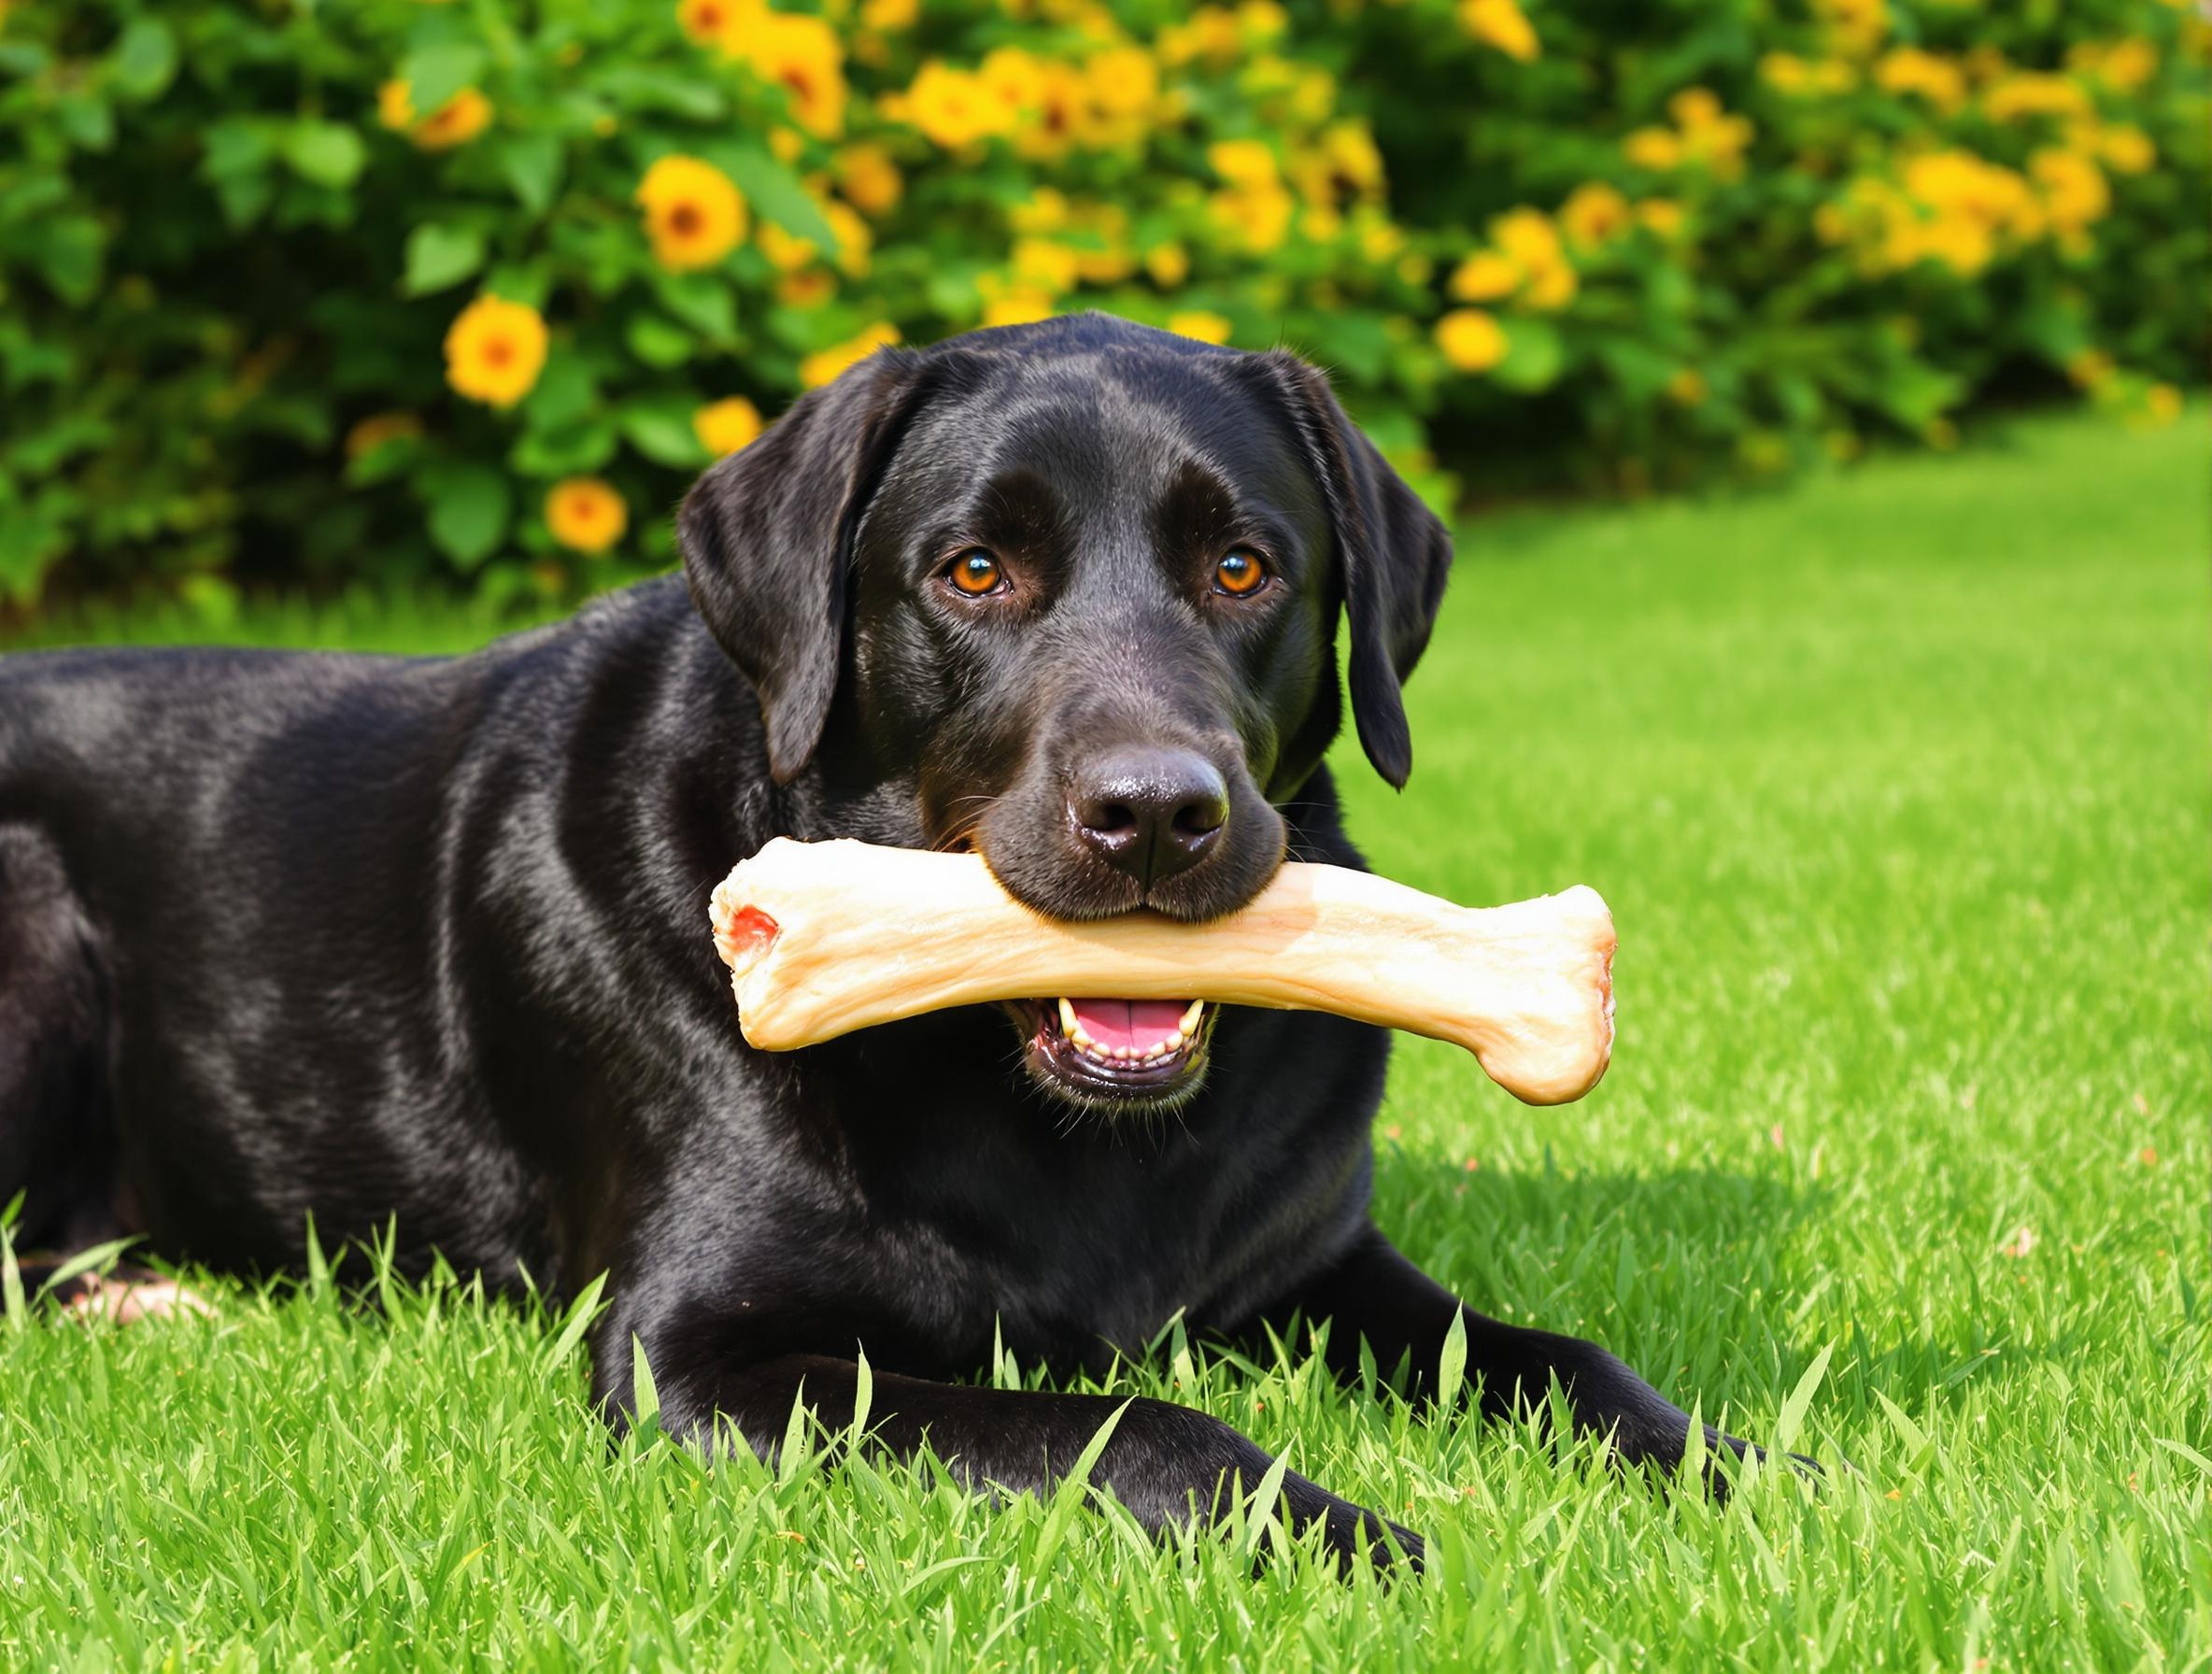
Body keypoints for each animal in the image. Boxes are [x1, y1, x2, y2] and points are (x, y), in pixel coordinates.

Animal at [0, 314, 1760, 1566]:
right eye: (972, 571)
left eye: (1242, 565)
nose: (1156, 813)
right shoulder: (688, 1357)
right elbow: (1134, 1421)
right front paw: (1366, 1537)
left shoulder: (1315, 1265)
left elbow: (1567, 1360)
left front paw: (1754, 1476)